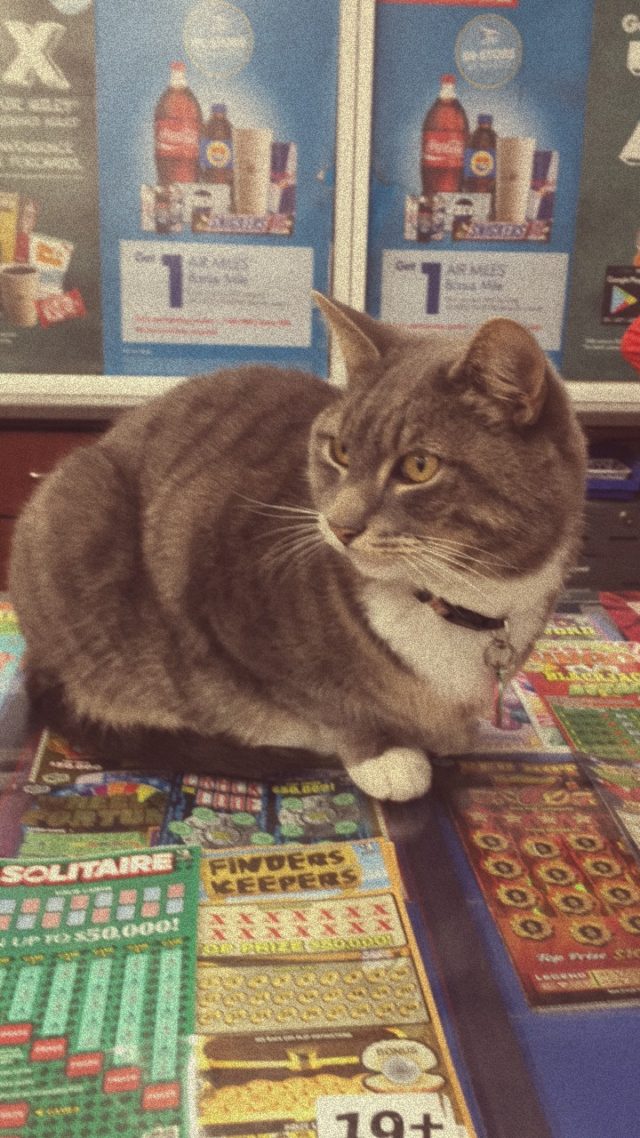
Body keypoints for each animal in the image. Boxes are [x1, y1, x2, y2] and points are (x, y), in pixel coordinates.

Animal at [8, 298, 583, 805]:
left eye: (419, 466)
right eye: (341, 451)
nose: (340, 526)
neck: (457, 597)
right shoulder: (215, 594)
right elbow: (327, 699)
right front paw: (384, 754)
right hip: (79, 508)